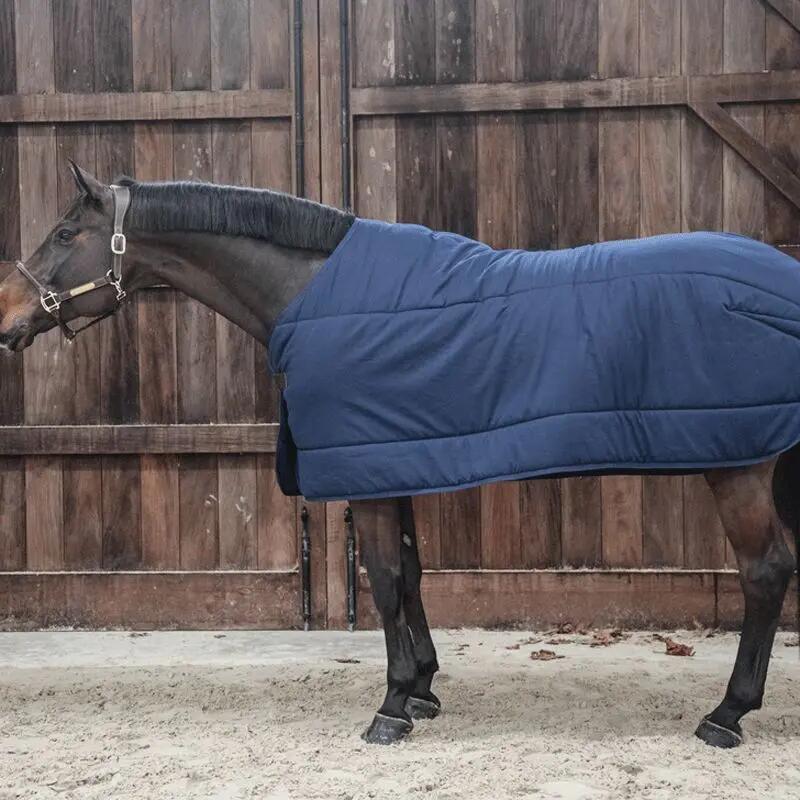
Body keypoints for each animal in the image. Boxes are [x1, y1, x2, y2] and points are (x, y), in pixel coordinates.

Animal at [0, 162, 797, 749]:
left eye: (65, 232)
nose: (7, 316)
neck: (312, 293)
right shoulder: (395, 458)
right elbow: (411, 574)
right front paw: (422, 687)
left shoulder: (370, 475)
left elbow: (382, 581)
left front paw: (389, 707)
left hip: (737, 469)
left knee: (765, 571)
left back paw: (726, 715)